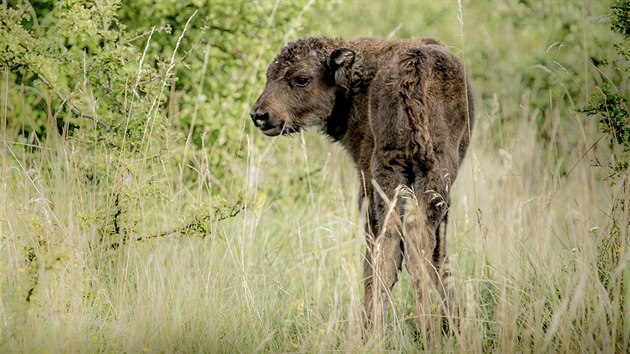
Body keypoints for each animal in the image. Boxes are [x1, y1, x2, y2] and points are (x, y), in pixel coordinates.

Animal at [252, 36, 474, 338]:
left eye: (301, 79)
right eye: (268, 75)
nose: (260, 115)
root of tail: (414, 68)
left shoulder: (365, 177)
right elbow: (440, 254)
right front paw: (453, 324)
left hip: (388, 173)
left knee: (388, 246)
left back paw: (379, 331)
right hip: (428, 172)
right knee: (414, 241)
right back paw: (424, 329)